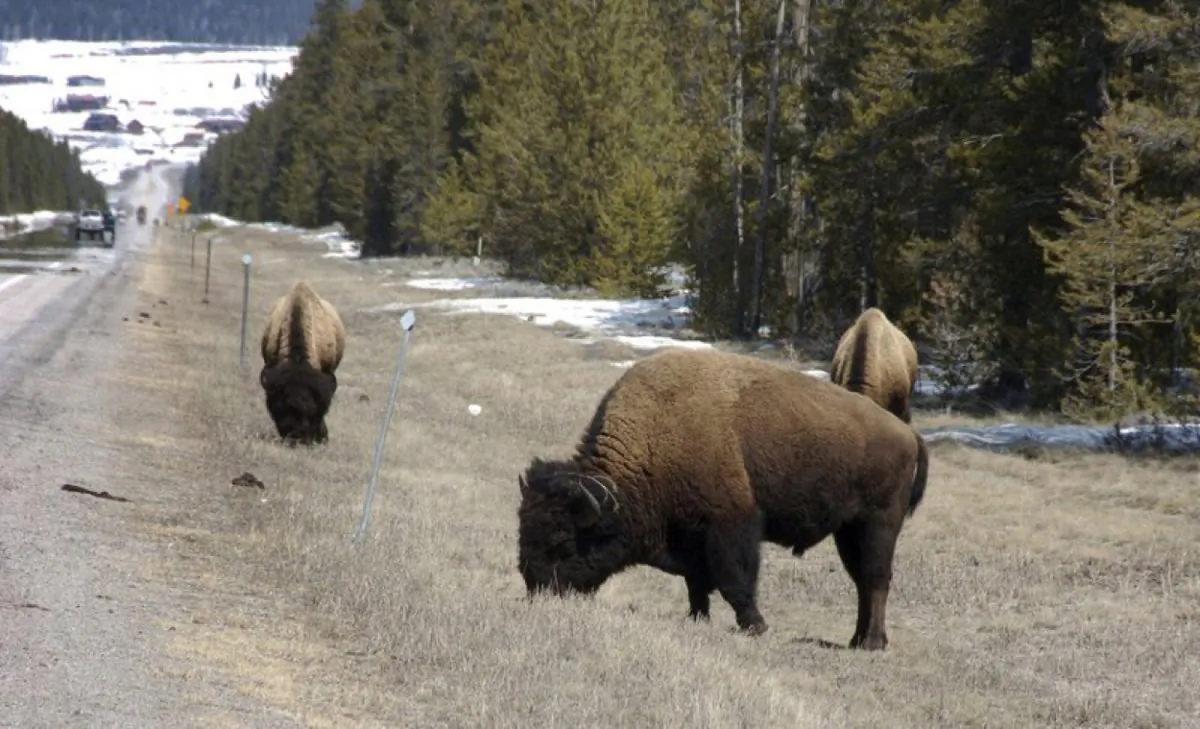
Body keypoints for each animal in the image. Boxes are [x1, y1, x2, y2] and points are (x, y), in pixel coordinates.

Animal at [517, 348, 929, 651]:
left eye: (562, 540)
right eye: (524, 530)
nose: (535, 586)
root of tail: (908, 435)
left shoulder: (731, 526)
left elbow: (733, 581)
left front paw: (756, 626)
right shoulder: (690, 539)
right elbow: (697, 584)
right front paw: (697, 619)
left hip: (878, 524)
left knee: (876, 579)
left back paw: (871, 643)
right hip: (848, 531)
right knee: (862, 581)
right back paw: (858, 640)